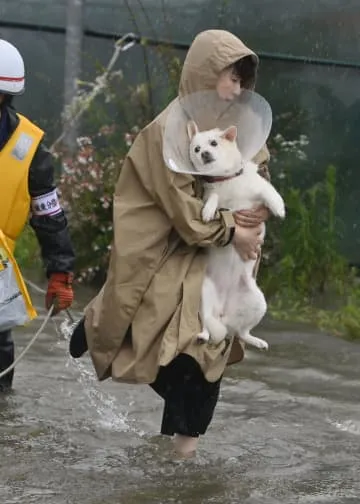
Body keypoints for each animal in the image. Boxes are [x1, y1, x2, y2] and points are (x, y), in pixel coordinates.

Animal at [187, 121, 286, 350]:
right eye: (196, 149)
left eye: (213, 143)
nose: (204, 153)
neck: (226, 179)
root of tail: (223, 313)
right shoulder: (213, 196)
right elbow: (213, 197)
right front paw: (208, 211)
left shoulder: (259, 192)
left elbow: (270, 194)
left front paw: (278, 208)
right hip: (204, 294)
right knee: (207, 323)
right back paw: (203, 335)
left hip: (257, 302)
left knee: (242, 332)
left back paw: (256, 340)